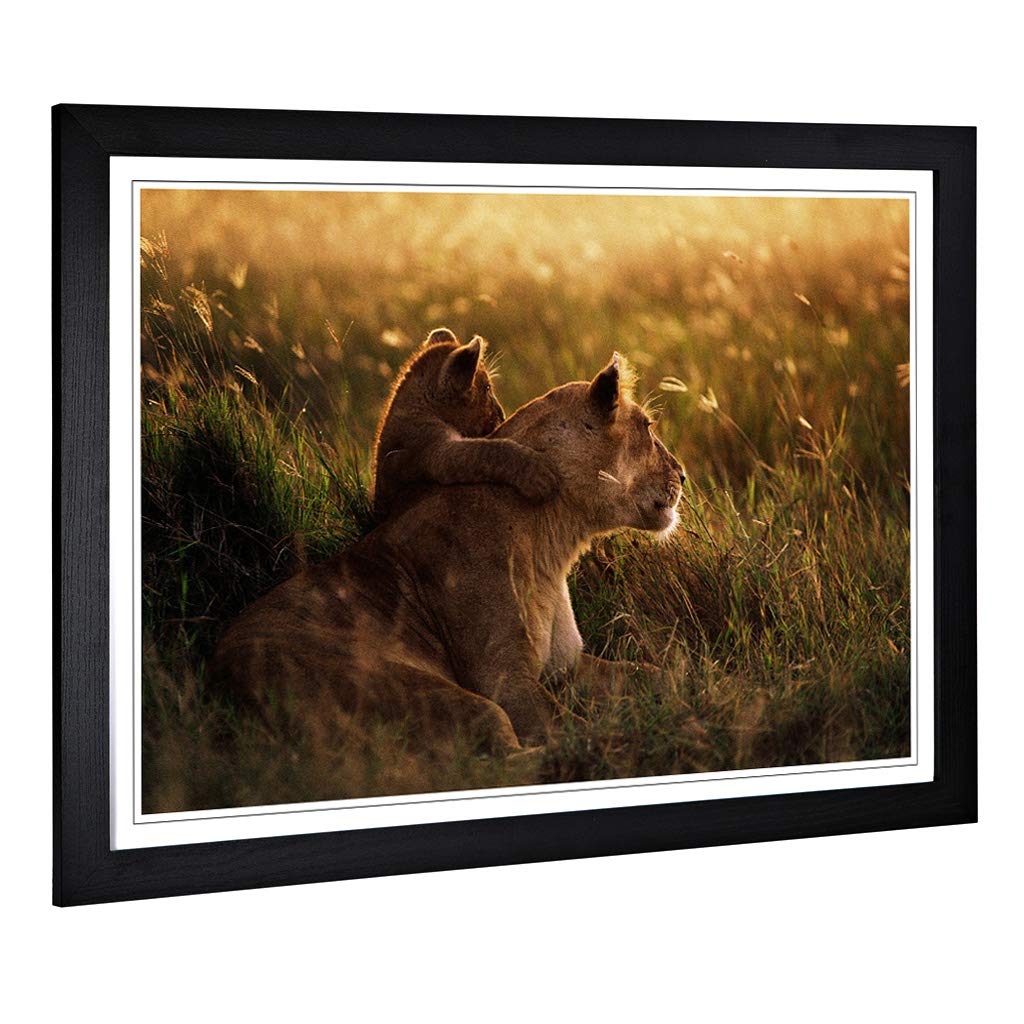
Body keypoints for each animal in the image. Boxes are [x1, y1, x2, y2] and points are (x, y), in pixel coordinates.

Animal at [210, 353, 685, 752]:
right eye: (647, 427)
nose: (682, 474)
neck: (554, 539)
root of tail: (221, 681)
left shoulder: (565, 666)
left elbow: (655, 675)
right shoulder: (503, 679)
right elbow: (569, 728)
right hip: (426, 692)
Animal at [371, 327, 560, 520]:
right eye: (487, 388)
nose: (502, 415)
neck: (420, 406)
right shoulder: (434, 451)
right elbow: (487, 451)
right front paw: (538, 475)